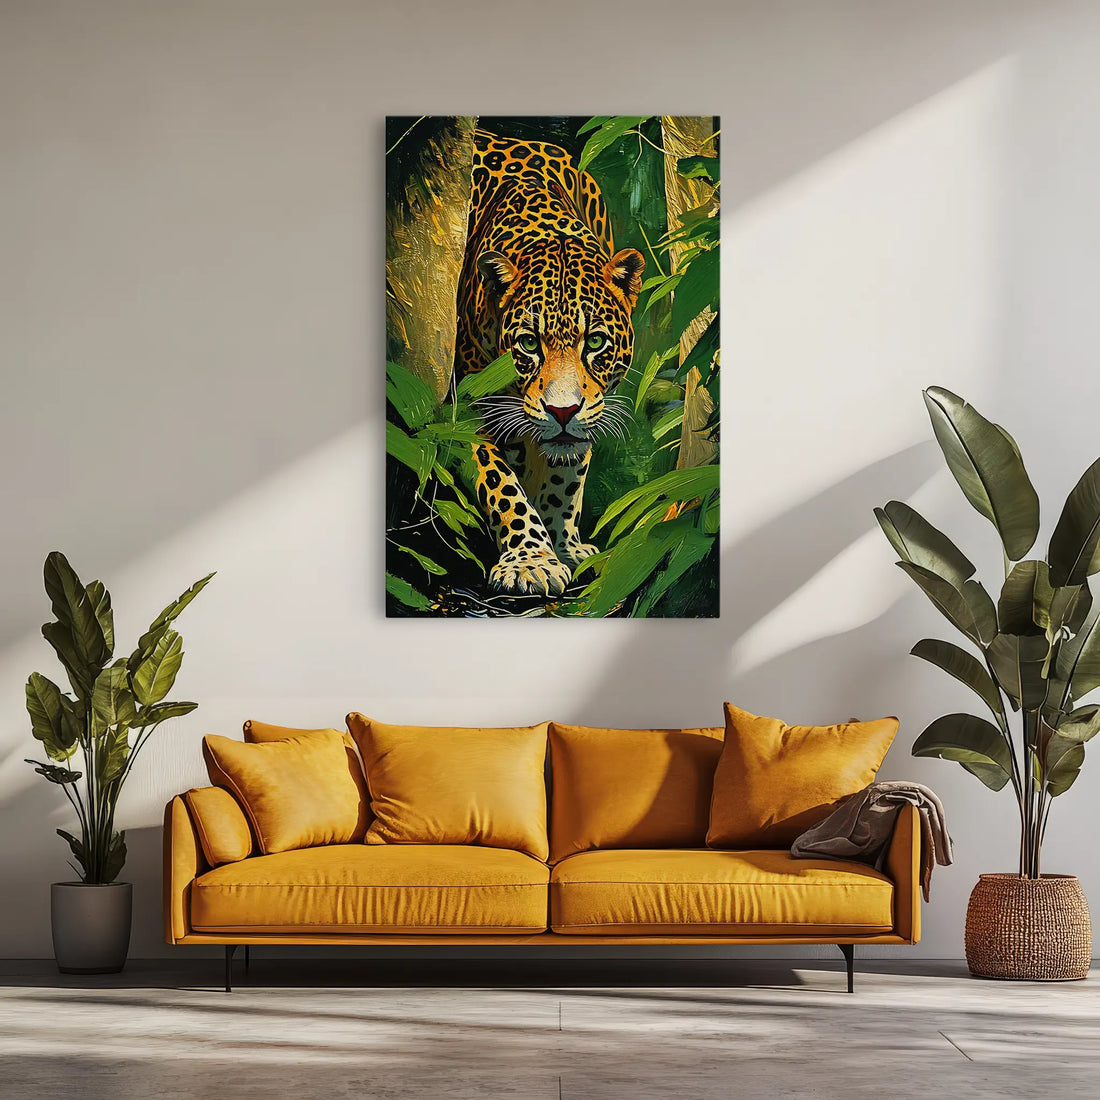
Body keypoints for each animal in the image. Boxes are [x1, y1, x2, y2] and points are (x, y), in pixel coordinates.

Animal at [455, 129, 645, 598]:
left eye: (594, 341)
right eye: (528, 343)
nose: (562, 411)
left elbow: (566, 478)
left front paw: (564, 546)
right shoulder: (469, 409)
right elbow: (502, 485)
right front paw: (531, 560)